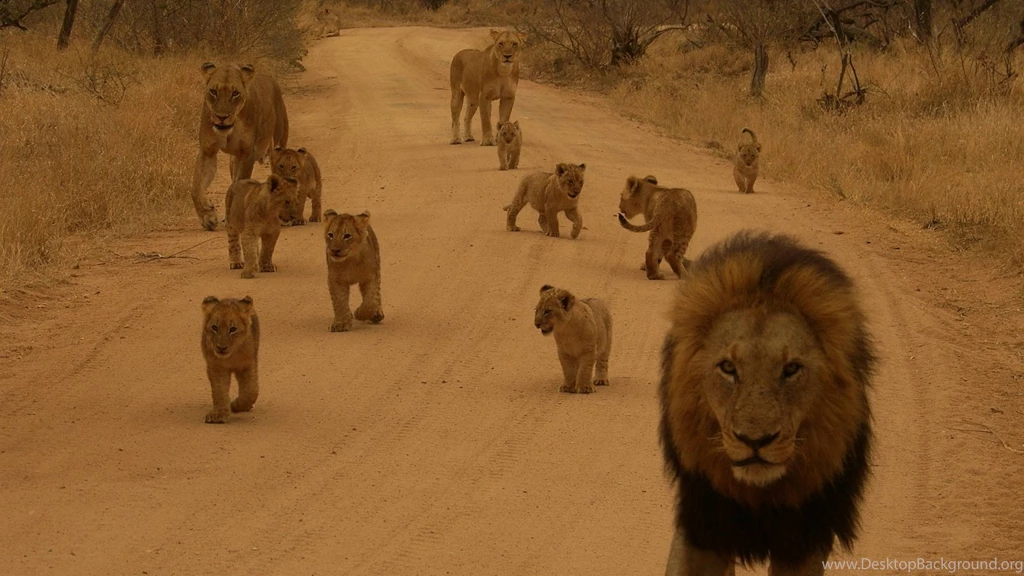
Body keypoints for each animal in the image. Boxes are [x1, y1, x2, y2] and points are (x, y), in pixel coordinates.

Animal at [190, 62, 289, 231]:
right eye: (213, 91)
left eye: (235, 93)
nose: (221, 117)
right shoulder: (207, 151)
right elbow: (196, 187)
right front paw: (207, 217)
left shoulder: (247, 153)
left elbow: (240, 182)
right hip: (232, 160)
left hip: (278, 146)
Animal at [200, 295, 260, 424]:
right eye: (214, 327)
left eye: (232, 329)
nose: (221, 348)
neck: (231, 356)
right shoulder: (217, 368)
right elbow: (219, 391)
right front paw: (219, 414)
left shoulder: (248, 365)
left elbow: (250, 391)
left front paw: (236, 406)